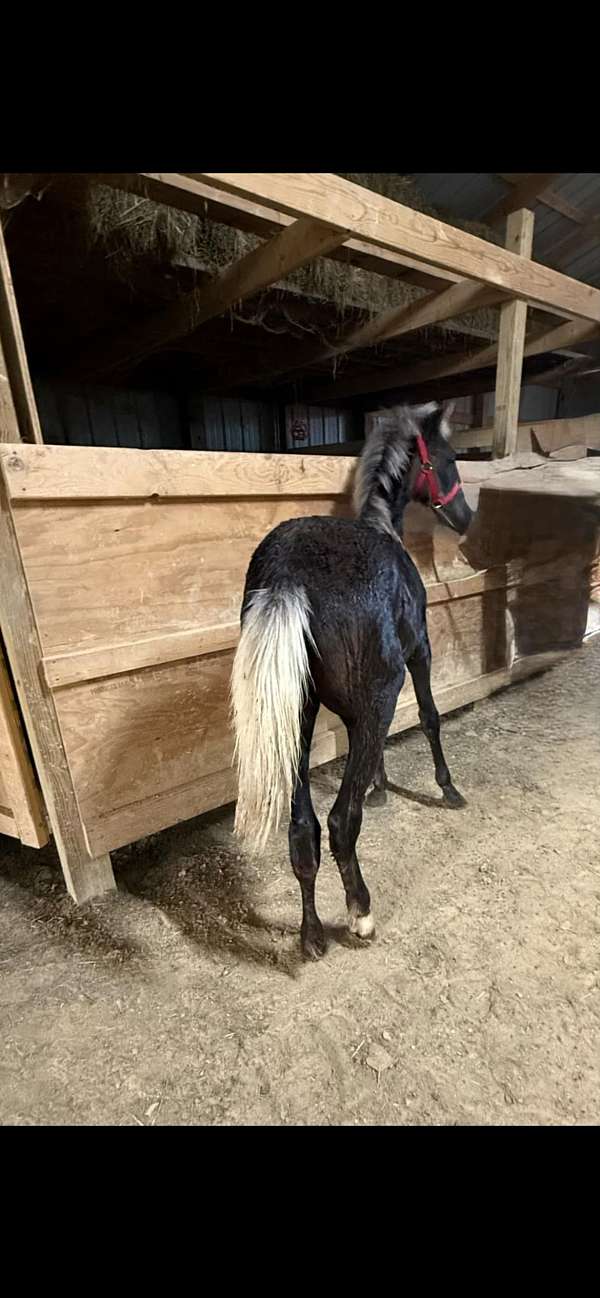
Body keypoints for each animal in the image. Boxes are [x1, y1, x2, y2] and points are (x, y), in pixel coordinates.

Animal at [231, 399, 472, 960]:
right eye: (449, 458)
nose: (466, 518)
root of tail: (288, 576)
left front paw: (380, 785)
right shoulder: (419, 653)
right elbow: (429, 717)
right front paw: (447, 788)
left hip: (295, 718)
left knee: (303, 829)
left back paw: (312, 935)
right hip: (378, 695)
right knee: (341, 822)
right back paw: (360, 914)